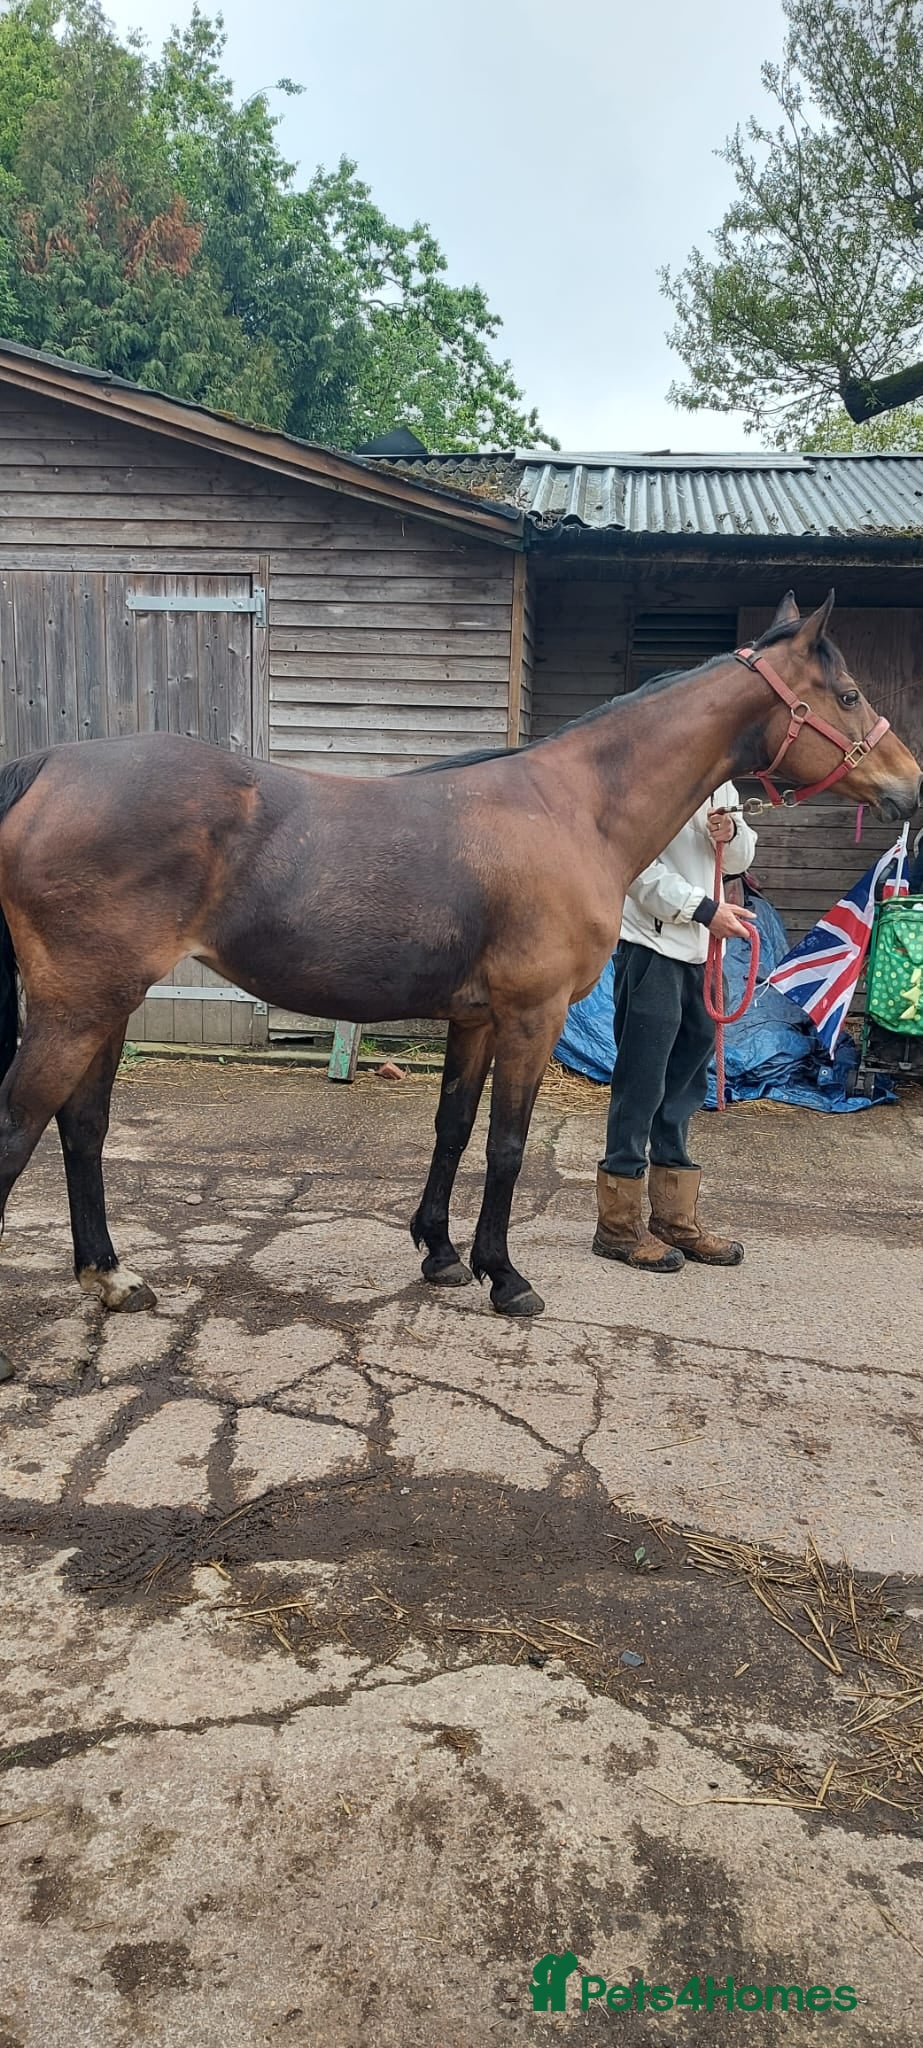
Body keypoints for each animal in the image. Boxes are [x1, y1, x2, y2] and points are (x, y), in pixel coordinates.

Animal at [0, 589, 919, 1380]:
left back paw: (111, 1277)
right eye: (845, 693)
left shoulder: (473, 1020)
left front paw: (440, 1254)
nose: (908, 785)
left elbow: (450, 1130)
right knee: (20, 1128)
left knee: (83, 1128)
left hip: (109, 1007)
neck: (573, 808)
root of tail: (46, 769)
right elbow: (505, 1146)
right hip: (75, 1008)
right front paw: (503, 1277)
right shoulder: (530, 1017)